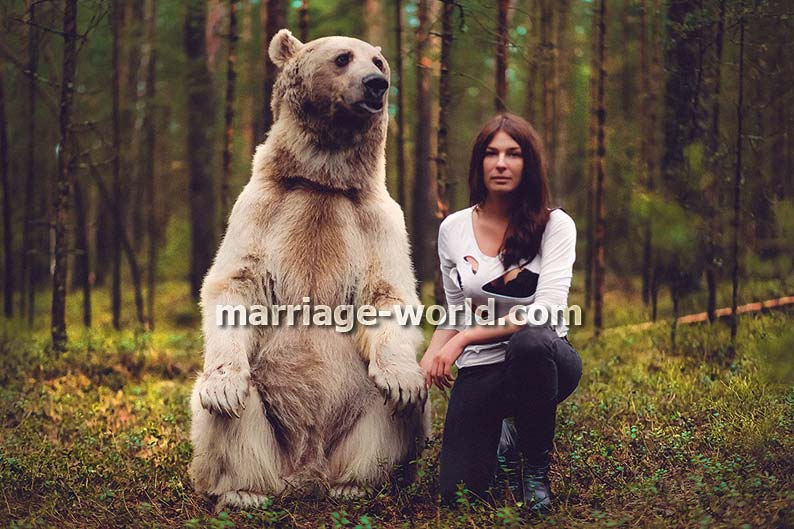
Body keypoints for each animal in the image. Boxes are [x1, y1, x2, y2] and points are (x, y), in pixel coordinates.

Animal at [189, 29, 430, 512]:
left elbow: (389, 294)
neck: (324, 181)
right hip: (266, 427)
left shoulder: (377, 220)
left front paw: (403, 380)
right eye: (343, 57)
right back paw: (244, 492)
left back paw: (356, 485)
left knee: (392, 412)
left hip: (355, 415)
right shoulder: (261, 209)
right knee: (230, 414)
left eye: (379, 60)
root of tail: (306, 471)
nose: (377, 85)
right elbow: (234, 284)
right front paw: (222, 386)